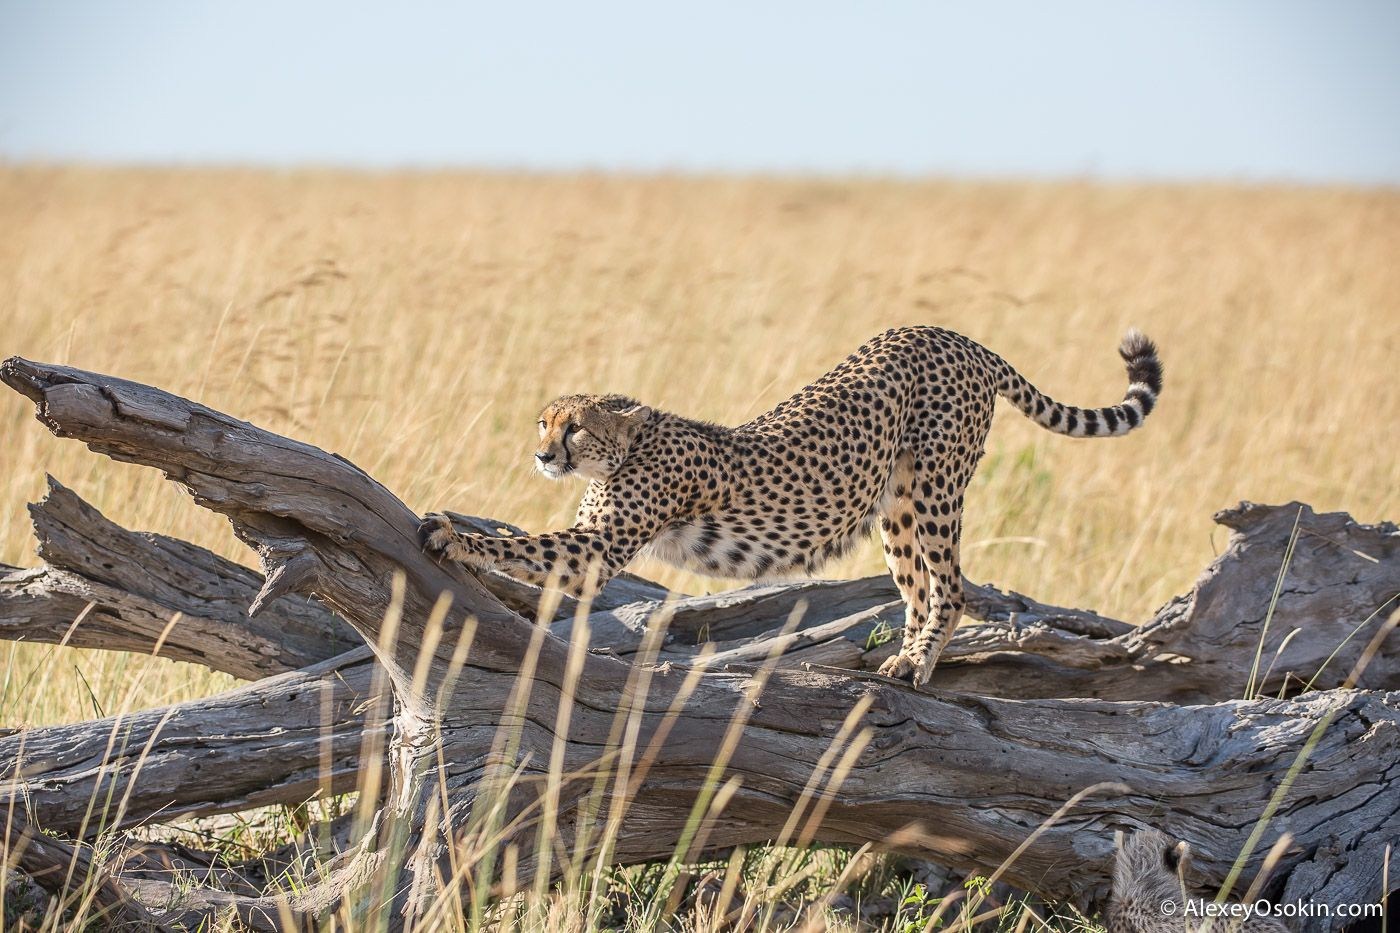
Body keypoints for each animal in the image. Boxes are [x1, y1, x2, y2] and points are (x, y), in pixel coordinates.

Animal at [420, 326, 1164, 683]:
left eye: (572, 427)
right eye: (541, 423)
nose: (544, 456)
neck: (629, 446)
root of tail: (948, 332)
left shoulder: (596, 549)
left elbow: (523, 545)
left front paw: (452, 534)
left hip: (933, 488)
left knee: (952, 587)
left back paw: (918, 663)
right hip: (894, 505)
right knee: (920, 588)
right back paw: (896, 660)